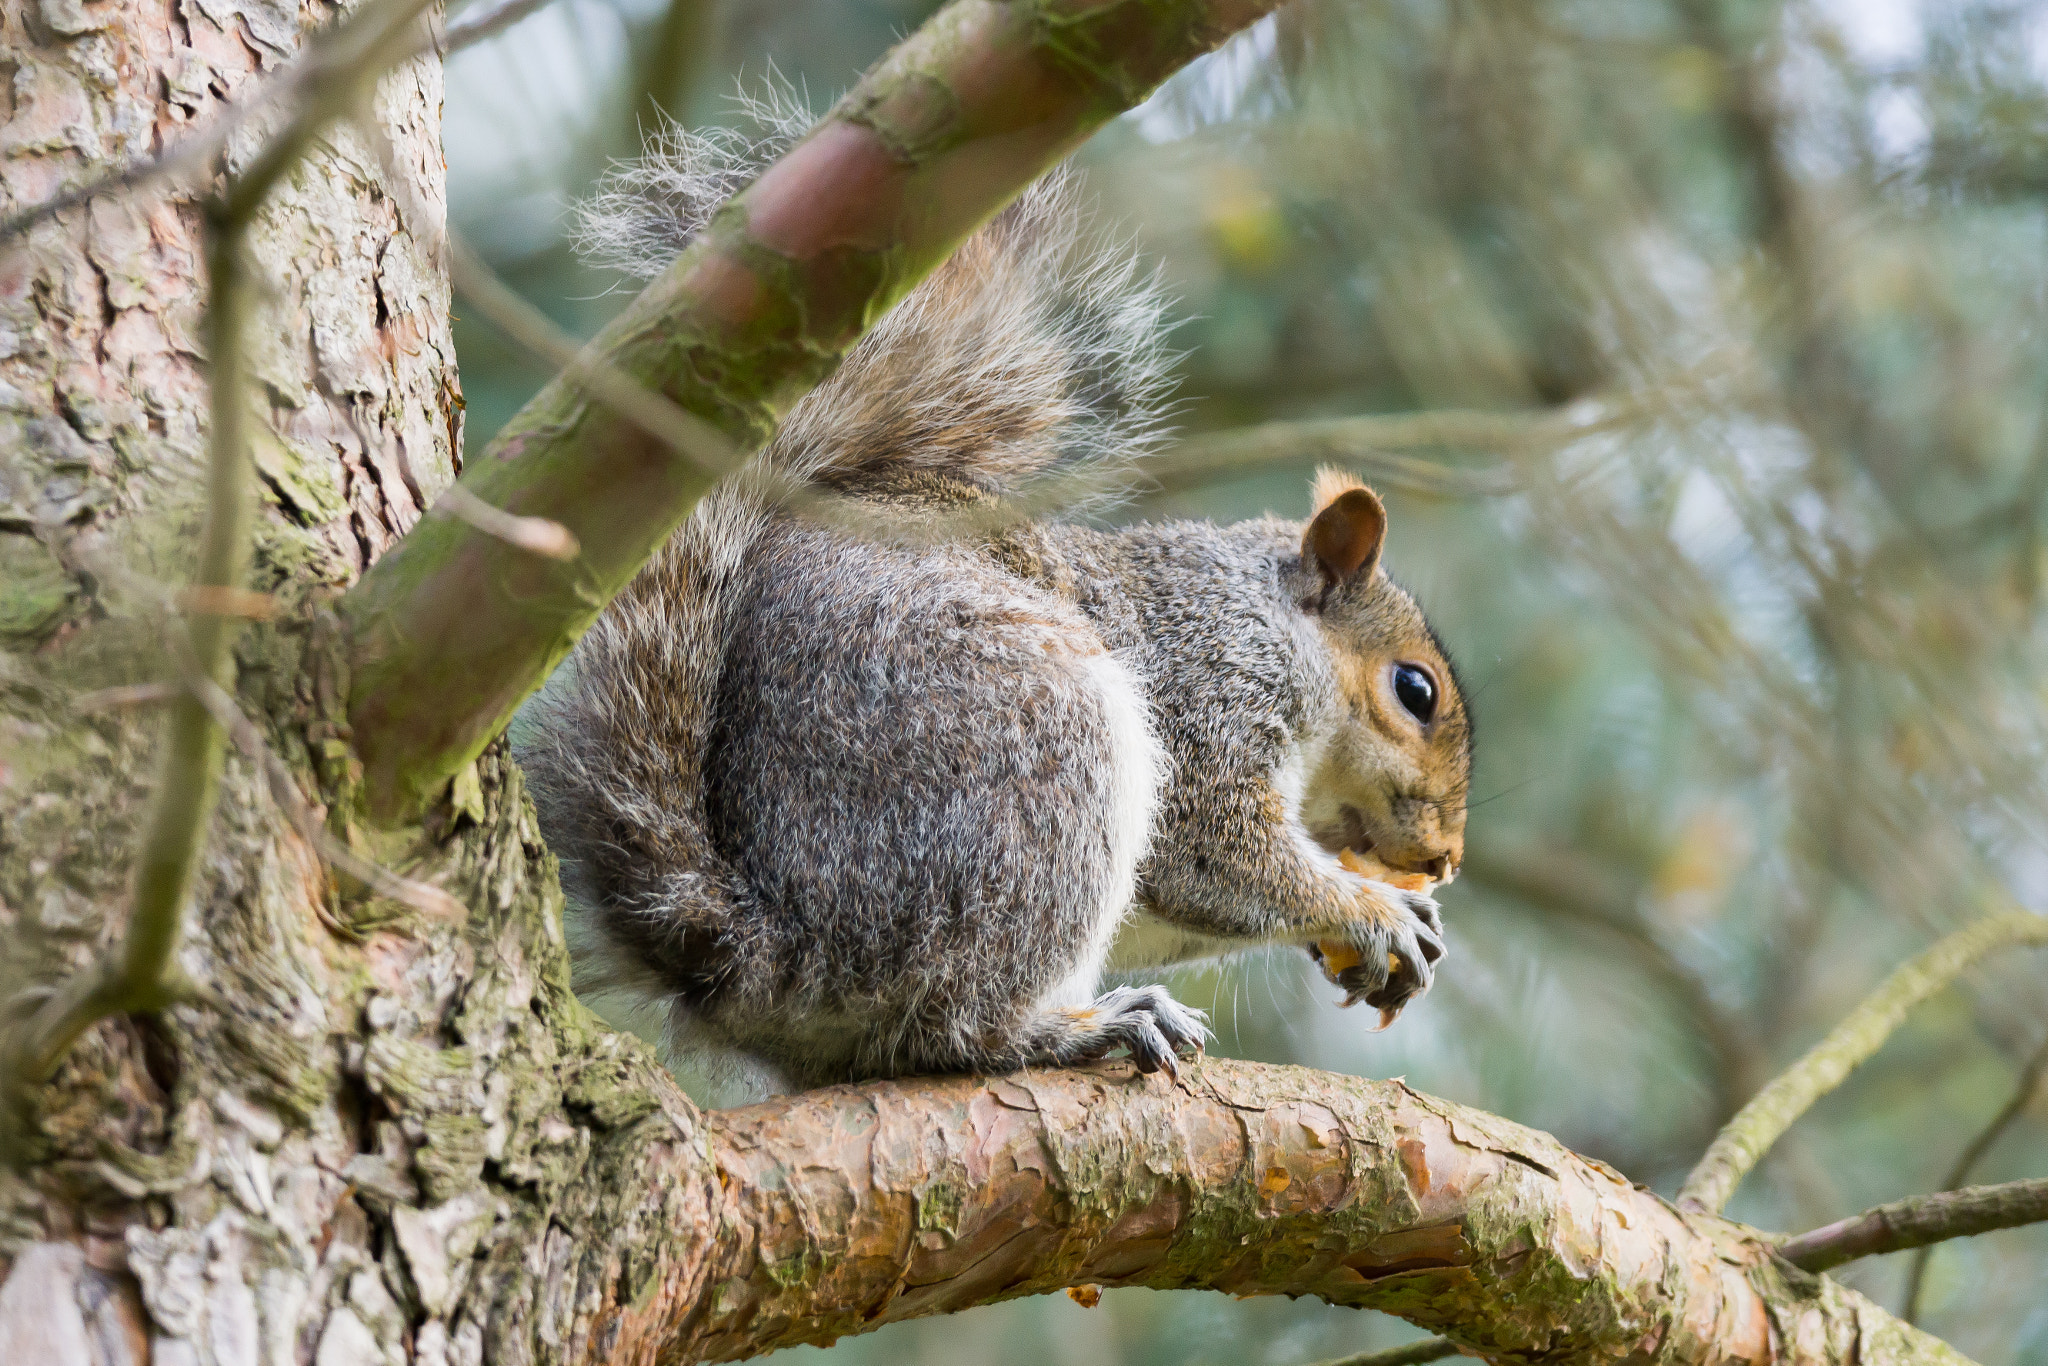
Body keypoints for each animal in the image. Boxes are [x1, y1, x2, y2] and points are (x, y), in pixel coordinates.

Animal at [515, 102, 1473, 1092]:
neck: (1261, 615)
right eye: (1415, 691)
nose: (1444, 861)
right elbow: (1210, 850)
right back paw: (1077, 1028)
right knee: (956, 1022)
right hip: (1032, 755)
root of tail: (773, 961)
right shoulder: (1212, 687)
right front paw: (1371, 910)